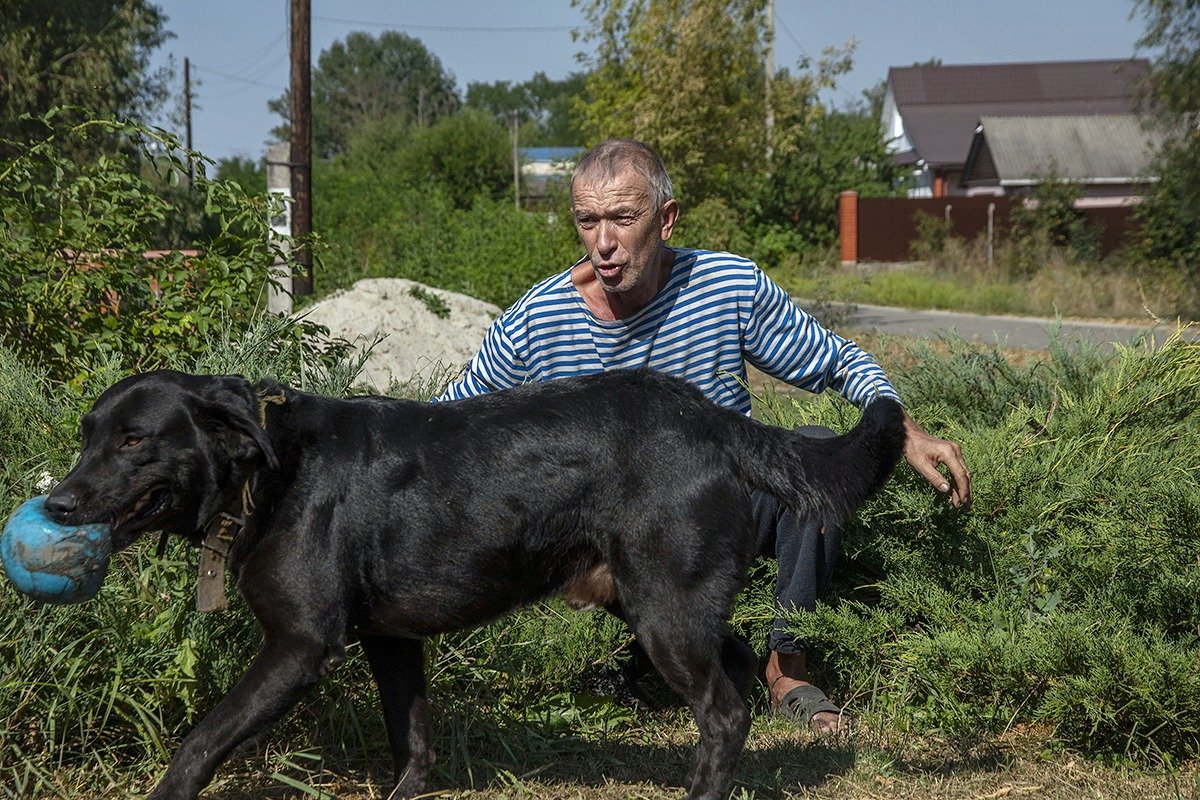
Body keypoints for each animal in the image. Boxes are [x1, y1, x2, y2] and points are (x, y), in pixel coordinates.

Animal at [46, 369, 902, 800]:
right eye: (88, 435)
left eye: (134, 440)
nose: (56, 504)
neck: (270, 469)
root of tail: (710, 416)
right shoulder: (392, 641)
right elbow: (413, 738)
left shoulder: (299, 646)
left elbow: (201, 741)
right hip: (661, 603)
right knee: (737, 674)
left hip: (664, 611)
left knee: (724, 711)